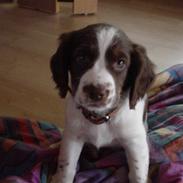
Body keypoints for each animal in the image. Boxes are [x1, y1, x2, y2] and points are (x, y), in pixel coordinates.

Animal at [50, 23, 154, 182]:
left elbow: (138, 174)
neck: (101, 117)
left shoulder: (135, 141)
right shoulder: (73, 136)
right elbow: (66, 168)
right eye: (81, 57)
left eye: (121, 62)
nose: (96, 92)